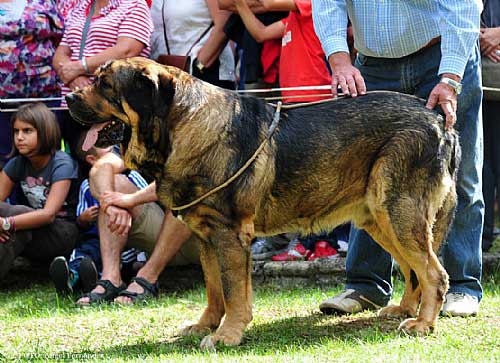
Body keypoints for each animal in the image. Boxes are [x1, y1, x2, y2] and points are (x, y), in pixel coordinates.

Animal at [66, 57, 460, 350]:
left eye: (105, 84)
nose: (68, 98)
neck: (179, 126)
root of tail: (438, 118)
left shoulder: (229, 235)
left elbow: (233, 292)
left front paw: (227, 335)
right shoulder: (206, 236)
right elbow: (214, 289)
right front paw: (205, 326)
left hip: (398, 211)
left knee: (433, 272)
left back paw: (423, 324)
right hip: (381, 219)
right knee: (412, 269)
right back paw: (405, 310)